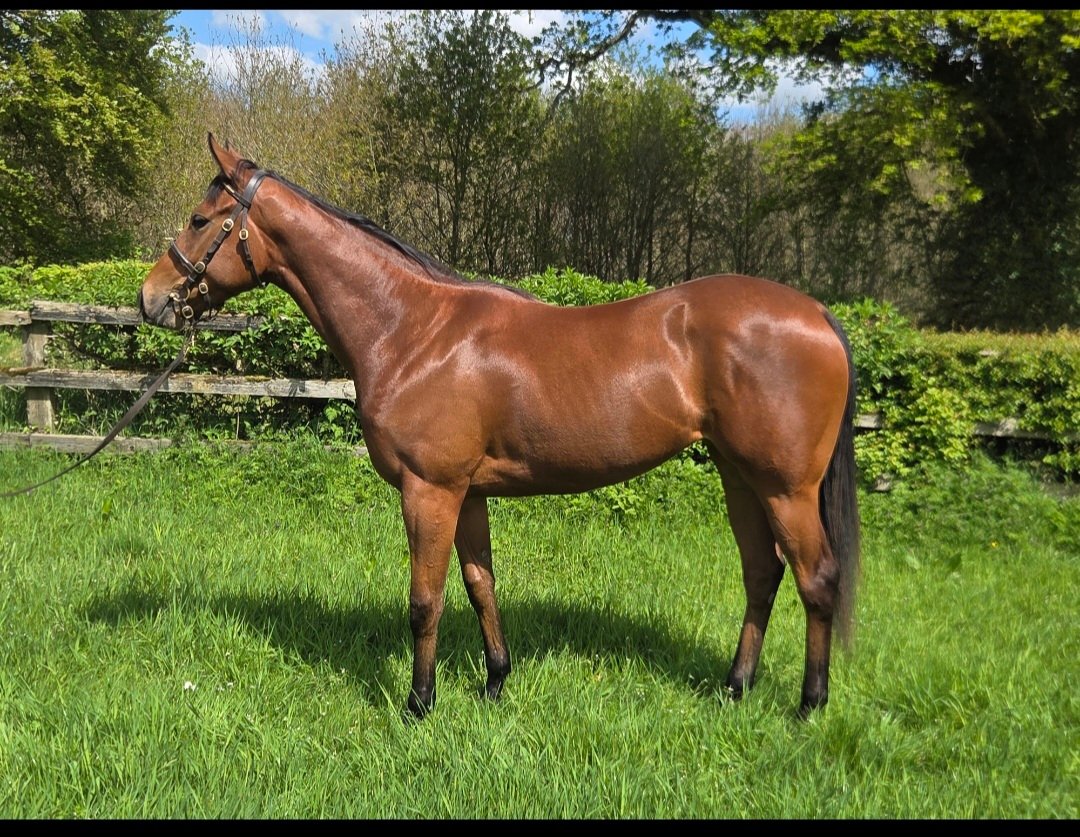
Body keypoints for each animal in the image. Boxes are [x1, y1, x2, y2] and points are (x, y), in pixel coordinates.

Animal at [139, 133, 861, 720]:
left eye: (201, 218)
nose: (151, 299)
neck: (413, 329)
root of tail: (819, 316)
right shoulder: (470, 493)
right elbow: (480, 582)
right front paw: (494, 682)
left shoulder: (429, 490)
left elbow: (425, 599)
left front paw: (419, 702)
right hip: (740, 477)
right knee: (761, 574)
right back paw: (734, 688)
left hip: (785, 488)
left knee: (815, 577)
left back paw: (808, 705)